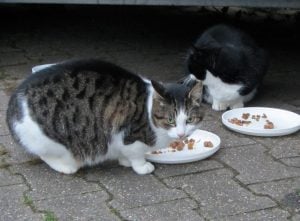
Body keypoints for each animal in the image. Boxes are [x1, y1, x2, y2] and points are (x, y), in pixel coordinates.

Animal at [6, 58, 204, 174]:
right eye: (170, 120)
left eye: (189, 120)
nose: (182, 134)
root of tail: (13, 104)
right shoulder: (128, 137)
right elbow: (136, 155)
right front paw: (141, 166)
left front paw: (124, 161)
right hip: (51, 139)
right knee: (46, 155)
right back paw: (67, 166)